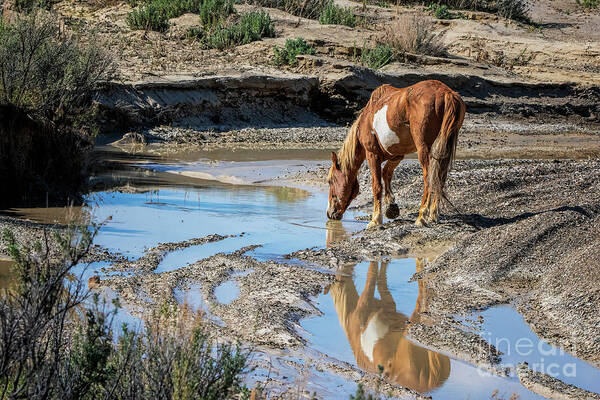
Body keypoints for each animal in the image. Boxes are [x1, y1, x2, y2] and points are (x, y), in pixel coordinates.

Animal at [328, 79, 464, 227]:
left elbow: (377, 186)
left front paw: (376, 219)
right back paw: (433, 215)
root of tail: (446, 93)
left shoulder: (372, 154)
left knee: (429, 179)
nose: (330, 213)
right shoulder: (397, 155)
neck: (365, 120)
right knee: (439, 178)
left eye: (330, 181)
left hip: (424, 150)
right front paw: (391, 206)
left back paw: (422, 216)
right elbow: (386, 173)